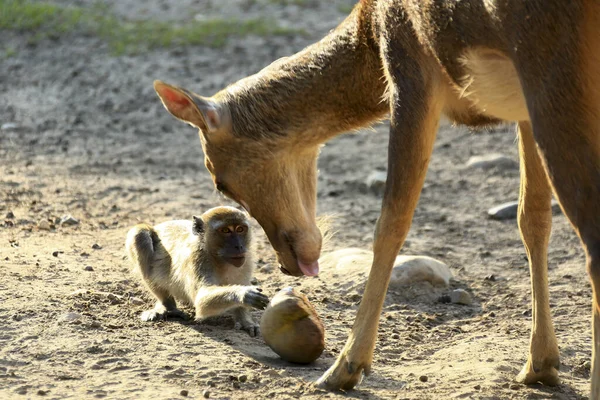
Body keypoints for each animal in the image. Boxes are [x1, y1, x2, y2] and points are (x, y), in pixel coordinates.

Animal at [125, 205, 268, 336]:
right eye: (226, 230)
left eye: (240, 229)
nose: (238, 246)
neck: (217, 258)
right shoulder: (198, 257)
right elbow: (200, 300)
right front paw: (244, 294)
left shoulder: (246, 260)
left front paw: (245, 321)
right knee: (140, 235)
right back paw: (168, 306)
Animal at [152, 0, 596, 394]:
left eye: (220, 179)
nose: (287, 264)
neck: (371, 25)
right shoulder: (519, 107)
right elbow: (532, 216)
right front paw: (540, 365)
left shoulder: (409, 68)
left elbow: (391, 221)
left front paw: (347, 367)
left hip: (554, 66)